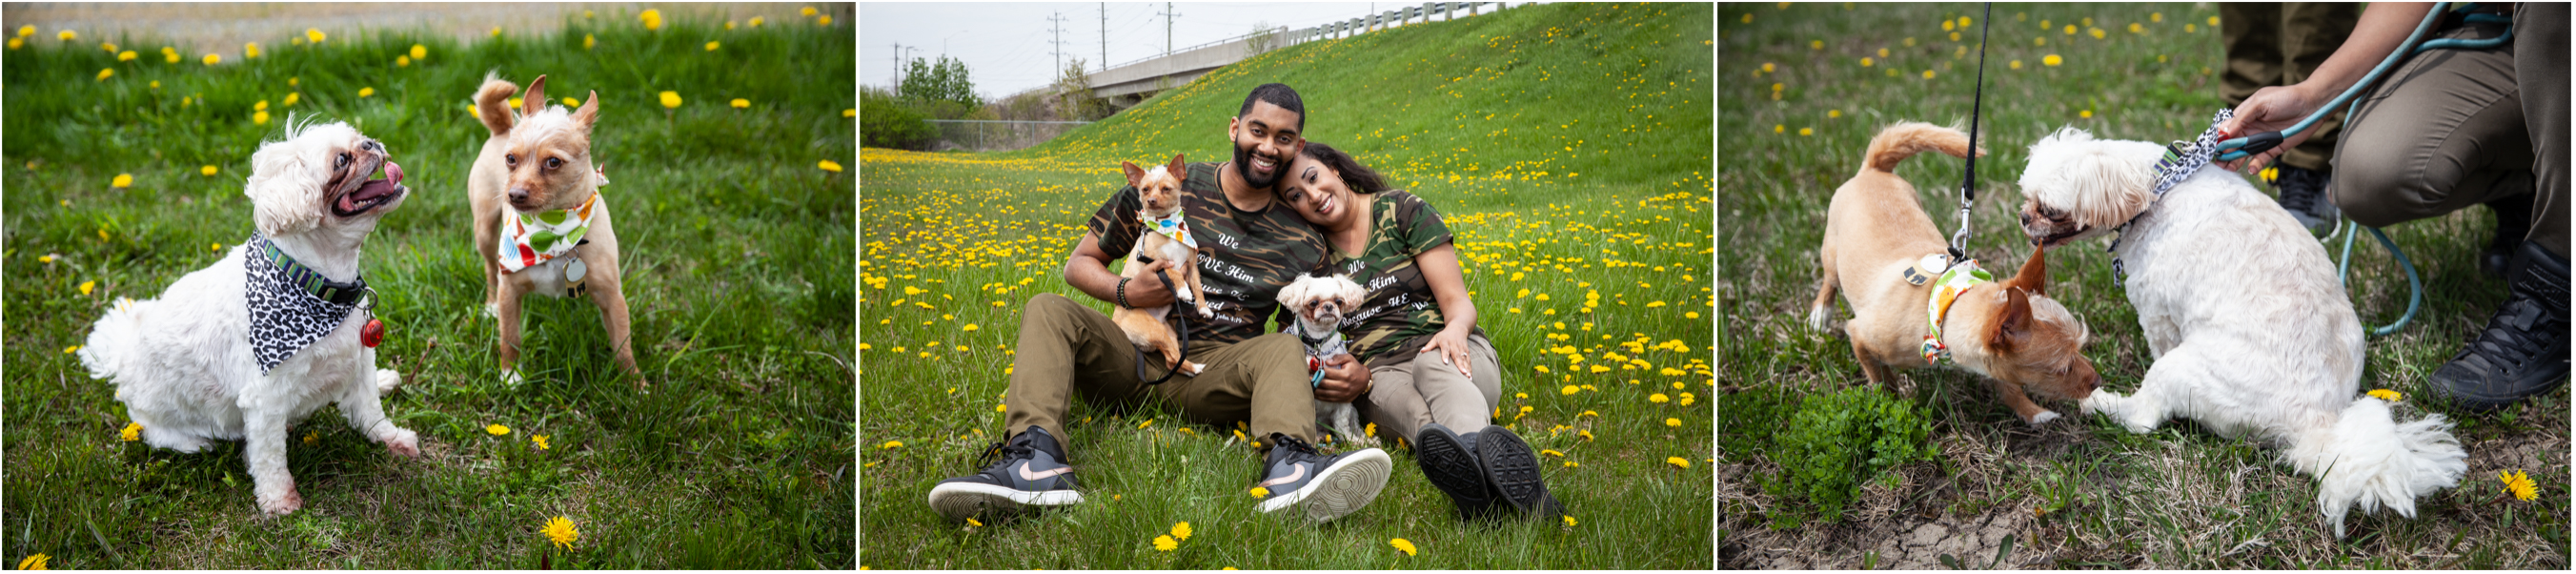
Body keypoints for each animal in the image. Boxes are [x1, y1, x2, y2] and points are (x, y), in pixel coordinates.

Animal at [79, 119, 416, 514]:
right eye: (341, 161)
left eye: (358, 137)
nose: (371, 144)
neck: (315, 287)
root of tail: (122, 357)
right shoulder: (264, 399)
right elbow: (268, 456)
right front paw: (279, 500)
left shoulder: (359, 359)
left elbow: (371, 413)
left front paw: (393, 438)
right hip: (166, 428)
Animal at [468, 72, 639, 385]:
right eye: (511, 159)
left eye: (554, 162)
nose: (515, 195)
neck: (553, 234)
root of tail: (502, 128)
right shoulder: (510, 292)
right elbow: (510, 337)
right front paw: (510, 375)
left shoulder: (613, 298)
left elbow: (623, 347)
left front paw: (637, 386)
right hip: (485, 233)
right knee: (489, 270)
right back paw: (490, 306)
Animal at [1112, 152, 1210, 376]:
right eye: (1145, 189)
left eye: (1166, 188)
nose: (1151, 200)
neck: (1169, 228)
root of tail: (1117, 325)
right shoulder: (1156, 263)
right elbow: (1174, 272)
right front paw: (1182, 291)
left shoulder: (1192, 266)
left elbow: (1198, 288)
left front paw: (1203, 308)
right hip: (1157, 331)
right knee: (1173, 359)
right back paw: (1196, 368)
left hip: (1169, 333)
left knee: (1172, 360)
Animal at [1803, 122, 2101, 427]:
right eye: (2062, 368)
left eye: (2080, 350)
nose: (2097, 381)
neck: (1943, 305)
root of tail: (1873, 169)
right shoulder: (1861, 338)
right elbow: (1883, 380)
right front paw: (1890, 405)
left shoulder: (1992, 361)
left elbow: (2007, 384)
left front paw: (2032, 412)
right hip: (1832, 255)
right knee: (1829, 281)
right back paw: (1820, 315)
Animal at [2009, 126, 2472, 538]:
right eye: (2026, 197)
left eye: (2049, 209)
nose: (2024, 218)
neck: (2157, 186)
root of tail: (2316, 420)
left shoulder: (2157, 314)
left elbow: (2158, 342)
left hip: (2181, 368)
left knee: (2144, 417)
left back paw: (2103, 404)